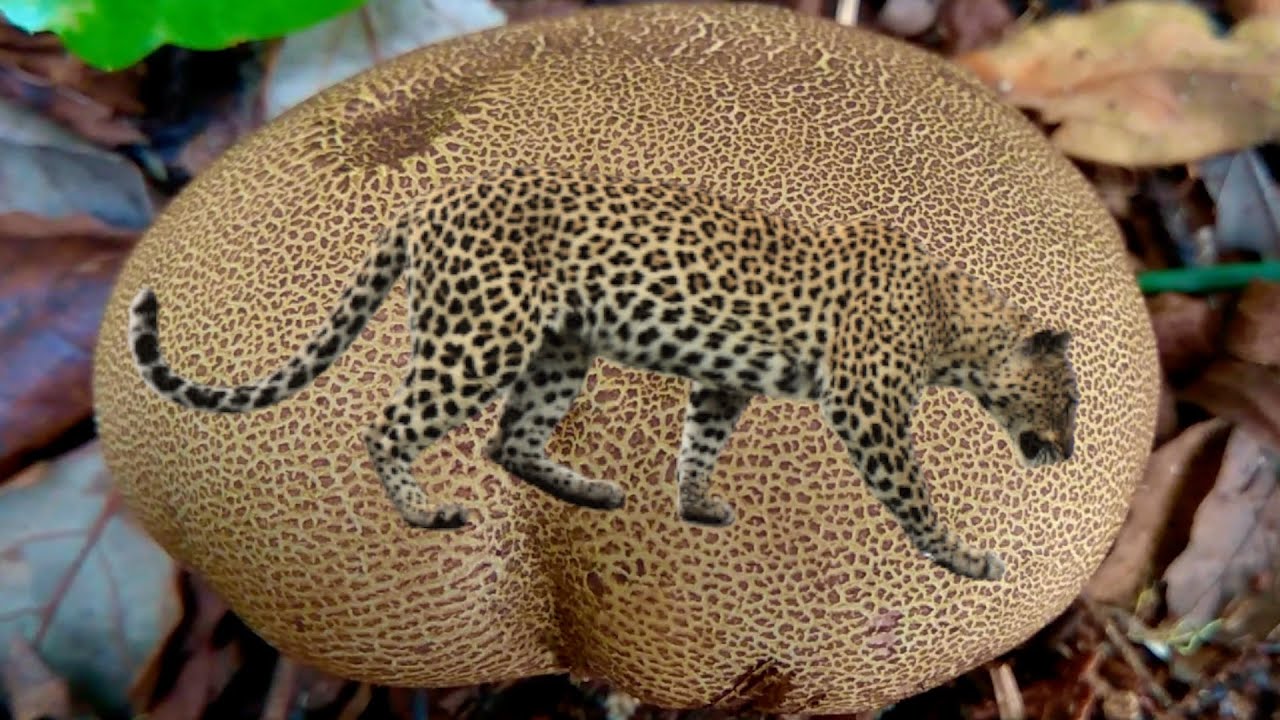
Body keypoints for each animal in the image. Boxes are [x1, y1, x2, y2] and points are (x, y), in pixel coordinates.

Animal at [127, 165, 1079, 582]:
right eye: (1068, 399)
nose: (1069, 453)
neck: (956, 321)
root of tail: (429, 202)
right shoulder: (867, 409)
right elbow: (914, 495)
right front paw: (966, 558)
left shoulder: (725, 381)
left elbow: (700, 439)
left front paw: (694, 504)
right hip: (479, 336)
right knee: (387, 425)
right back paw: (426, 512)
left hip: (559, 349)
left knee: (510, 440)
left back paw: (588, 491)